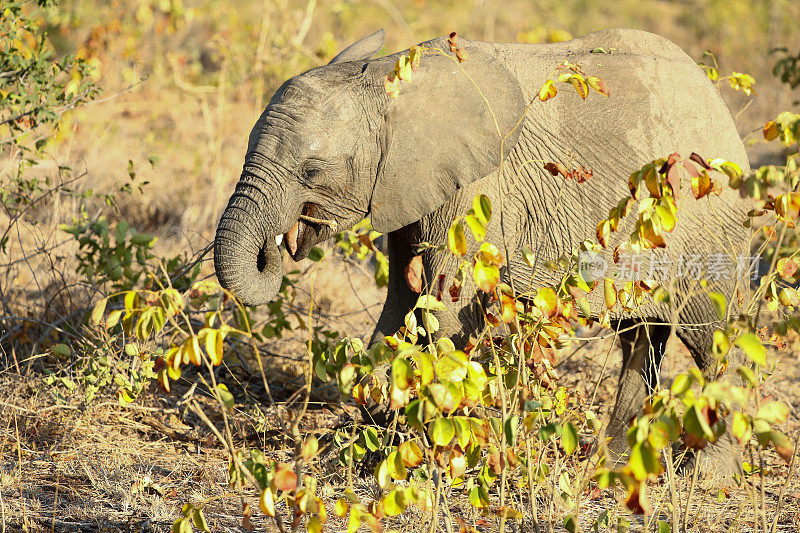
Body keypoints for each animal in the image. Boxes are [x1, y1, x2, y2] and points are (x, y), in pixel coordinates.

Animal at [214, 28, 752, 474]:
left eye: (312, 171)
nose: (278, 245)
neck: (392, 79)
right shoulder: (406, 190)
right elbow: (400, 307)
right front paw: (375, 439)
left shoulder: (476, 193)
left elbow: (443, 315)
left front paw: (420, 457)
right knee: (641, 339)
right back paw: (611, 464)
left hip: (706, 226)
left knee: (707, 340)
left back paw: (709, 476)